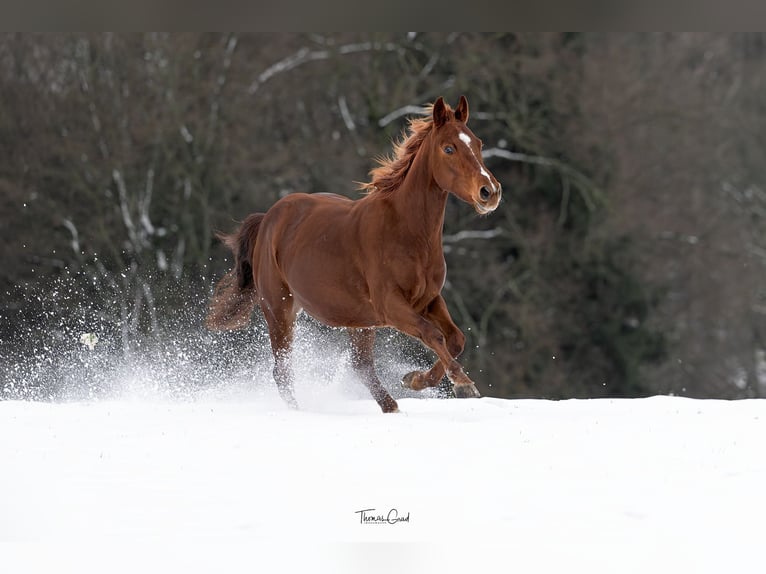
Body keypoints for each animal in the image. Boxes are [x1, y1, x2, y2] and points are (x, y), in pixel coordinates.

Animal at [207, 98, 500, 414]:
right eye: (448, 148)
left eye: (479, 143)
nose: (490, 191)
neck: (406, 232)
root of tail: (268, 219)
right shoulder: (391, 306)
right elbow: (432, 334)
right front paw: (463, 383)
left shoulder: (428, 300)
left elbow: (456, 338)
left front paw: (415, 380)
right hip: (279, 309)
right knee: (283, 371)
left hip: (358, 322)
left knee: (361, 366)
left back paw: (391, 406)